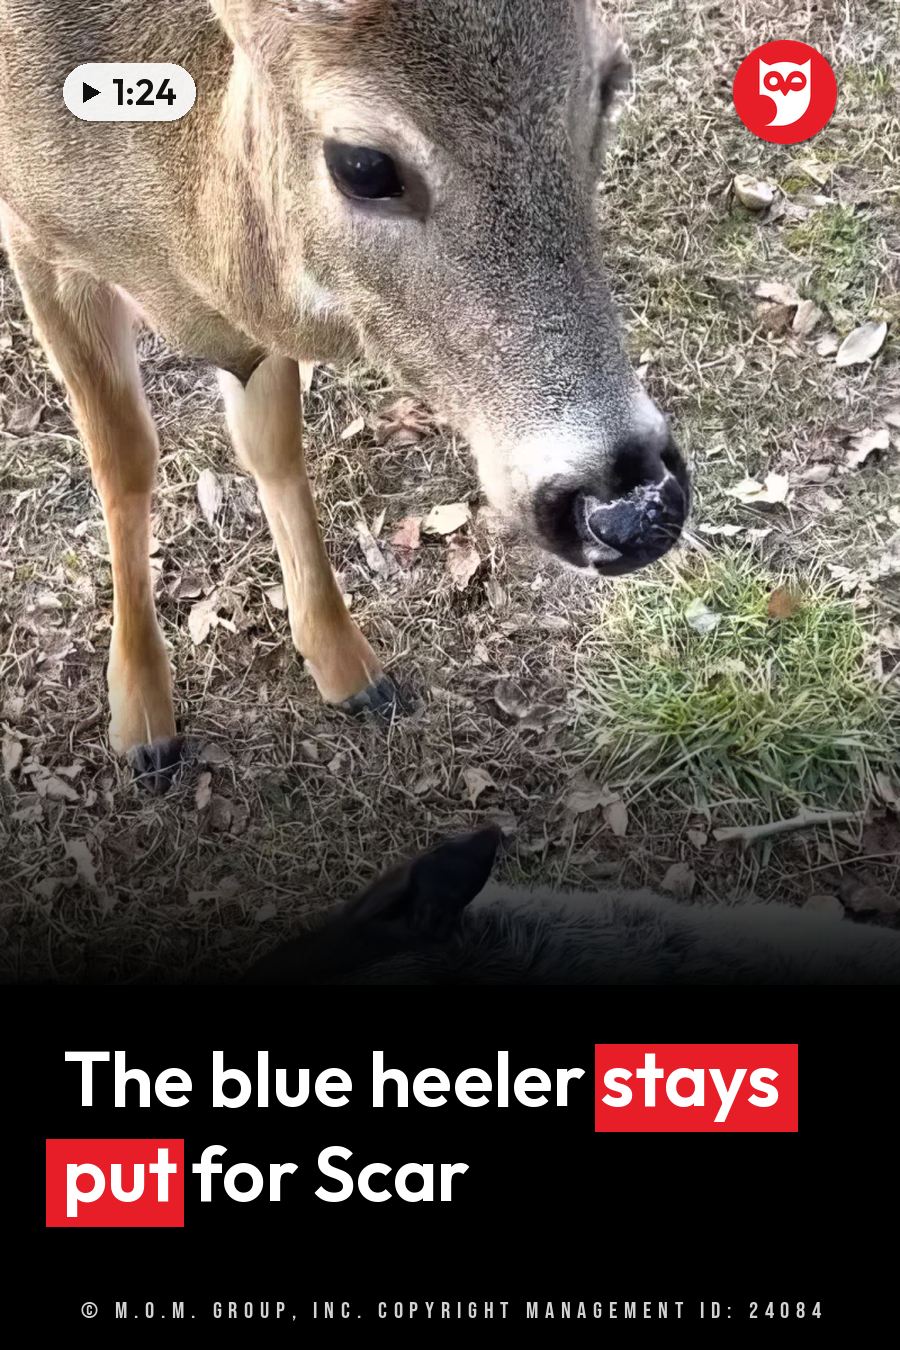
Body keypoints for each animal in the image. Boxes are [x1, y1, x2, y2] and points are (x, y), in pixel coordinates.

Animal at [0, 1, 690, 790]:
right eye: (363, 164)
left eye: (610, 82)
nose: (635, 504)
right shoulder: (37, 240)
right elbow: (123, 459)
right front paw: (142, 719)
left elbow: (272, 446)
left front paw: (348, 666)